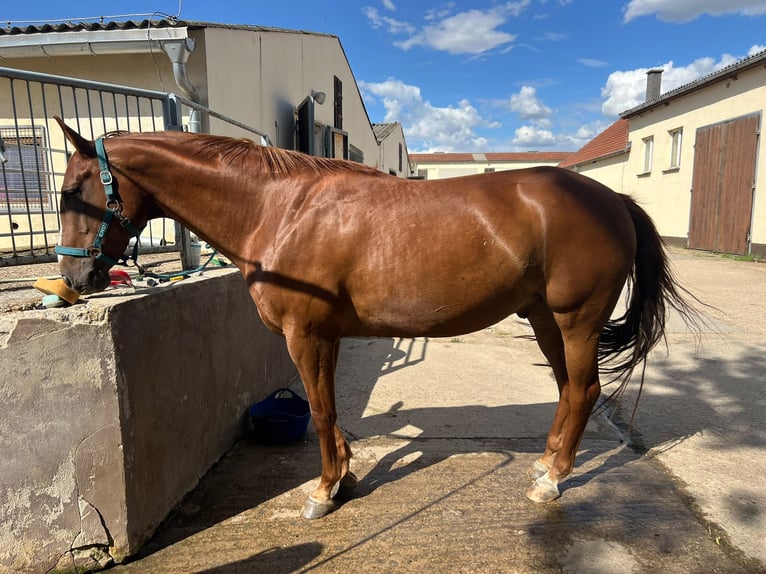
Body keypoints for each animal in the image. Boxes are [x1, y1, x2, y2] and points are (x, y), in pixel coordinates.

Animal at [53, 117, 697, 519]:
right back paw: (543, 467)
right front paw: (345, 478)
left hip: (575, 319)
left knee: (583, 390)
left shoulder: (305, 335)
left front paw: (322, 492)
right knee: (568, 389)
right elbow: (331, 408)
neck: (279, 209)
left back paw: (555, 481)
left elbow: (318, 409)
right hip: (544, 319)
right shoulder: (326, 336)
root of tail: (614, 199)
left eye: (76, 190)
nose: (76, 281)